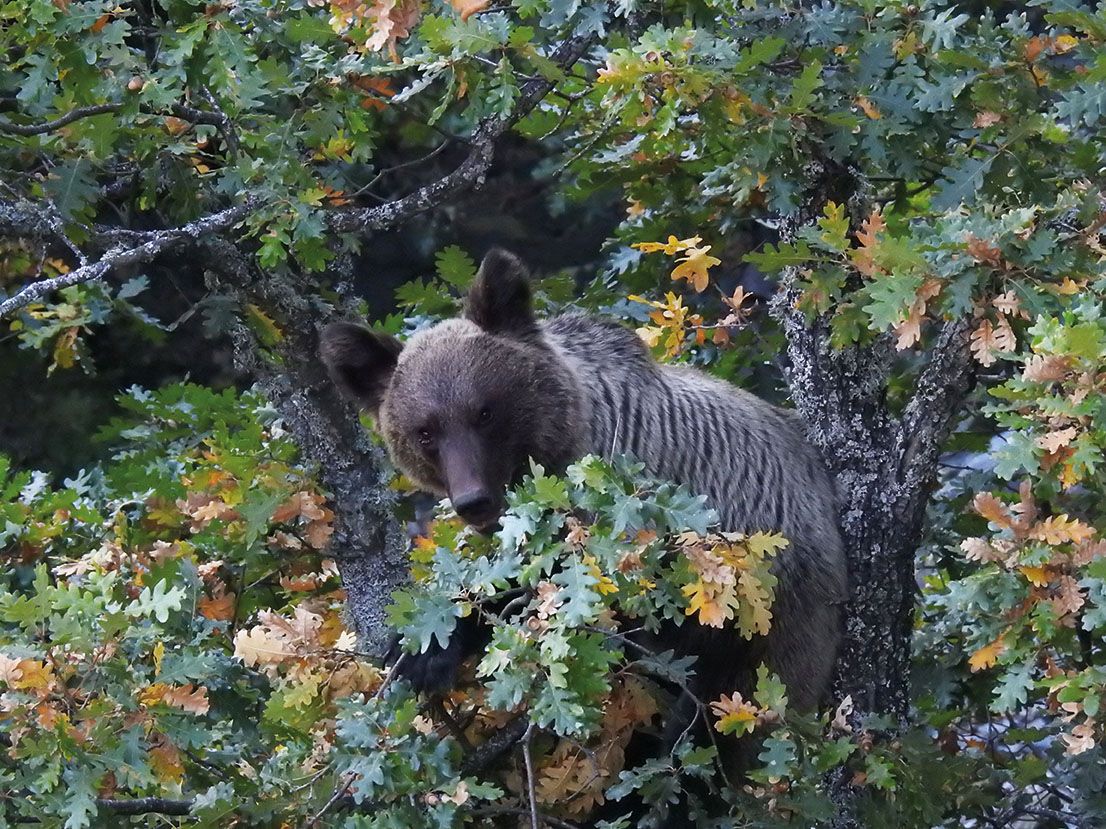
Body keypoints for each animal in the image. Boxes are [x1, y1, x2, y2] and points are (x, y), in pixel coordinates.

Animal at [319, 248, 848, 774]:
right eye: (425, 431)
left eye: (484, 412)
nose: (474, 500)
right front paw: (423, 648)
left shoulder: (617, 506)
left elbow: (560, 591)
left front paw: (434, 646)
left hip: (769, 617)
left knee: (726, 721)